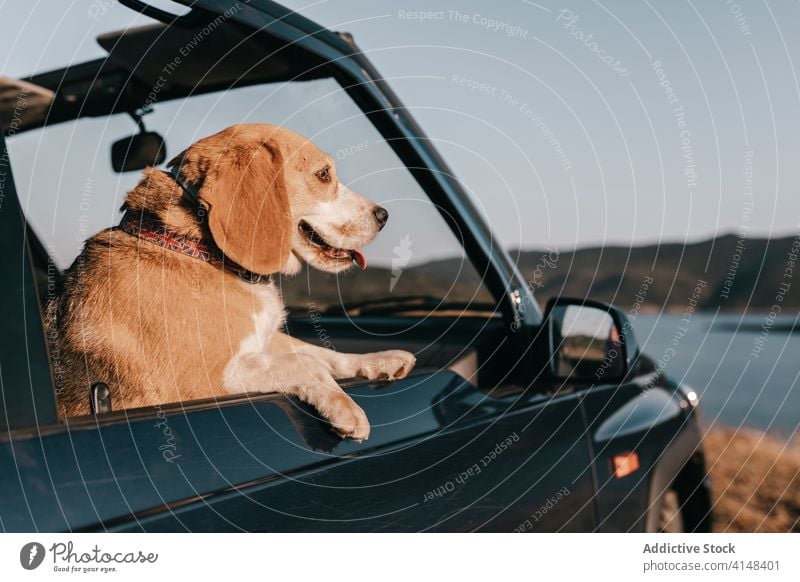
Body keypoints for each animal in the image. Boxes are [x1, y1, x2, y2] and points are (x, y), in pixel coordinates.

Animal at [46, 124, 416, 442]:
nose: (383, 216)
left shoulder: (261, 338)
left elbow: (321, 352)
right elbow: (306, 362)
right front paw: (345, 409)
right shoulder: (205, 381)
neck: (195, 247)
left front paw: (379, 360)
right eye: (323, 175)